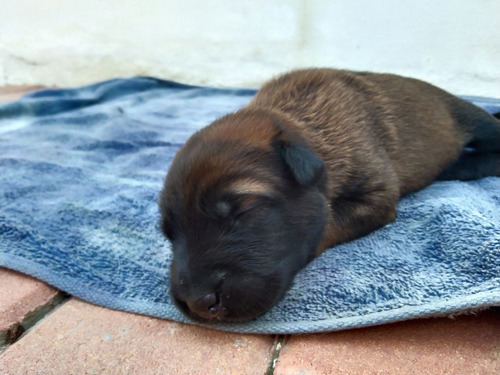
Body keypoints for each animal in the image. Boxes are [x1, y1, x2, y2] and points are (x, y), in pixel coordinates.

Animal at [159, 70, 500, 324]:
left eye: (244, 209)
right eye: (168, 234)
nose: (196, 302)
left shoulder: (375, 195)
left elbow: (326, 226)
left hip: (469, 116)